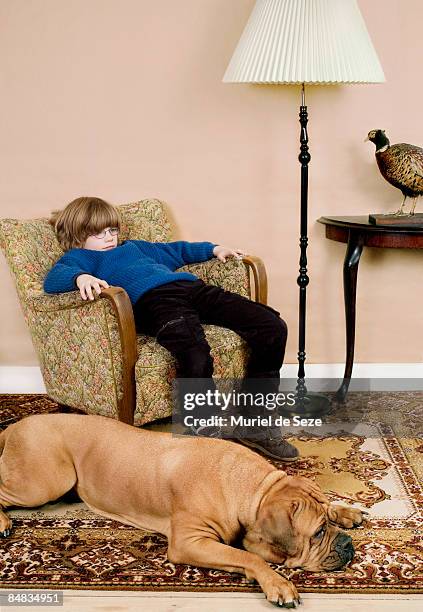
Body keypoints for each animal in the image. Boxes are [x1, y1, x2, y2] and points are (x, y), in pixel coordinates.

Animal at [0, 416, 364, 608]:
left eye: (326, 525)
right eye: (317, 533)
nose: (348, 545)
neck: (253, 489)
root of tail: (18, 424)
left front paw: (345, 511)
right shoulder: (190, 541)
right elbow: (248, 556)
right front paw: (277, 583)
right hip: (46, 481)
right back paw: (3, 521)